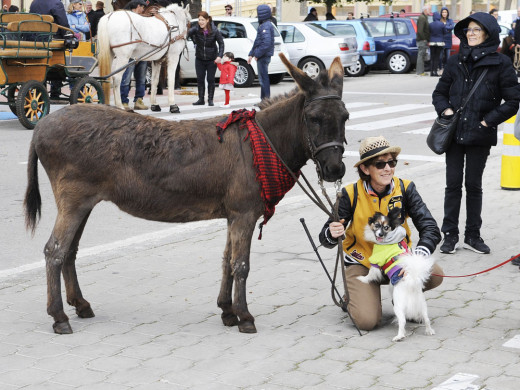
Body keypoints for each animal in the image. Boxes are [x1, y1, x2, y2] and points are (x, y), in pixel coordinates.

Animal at [358, 207, 434, 342]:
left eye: (386, 227)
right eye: (376, 225)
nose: (380, 234)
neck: (388, 239)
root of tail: (411, 282)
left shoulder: (376, 261)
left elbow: (371, 274)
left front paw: (363, 279)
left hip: (398, 304)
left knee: (402, 321)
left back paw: (399, 336)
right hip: (422, 304)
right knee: (426, 318)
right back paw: (429, 331)